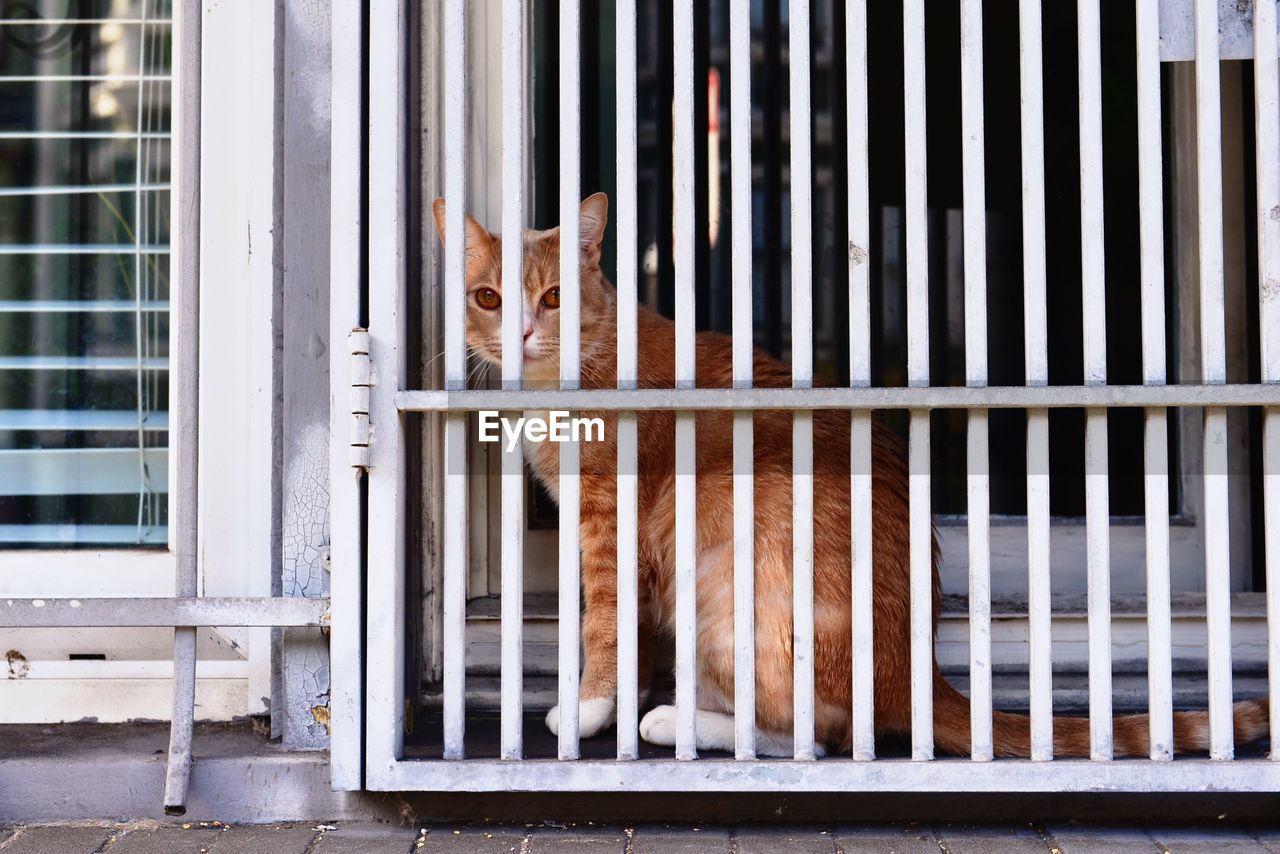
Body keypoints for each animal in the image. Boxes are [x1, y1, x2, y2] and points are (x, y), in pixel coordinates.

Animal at [437, 195, 1269, 763]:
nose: (522, 332)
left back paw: (675, 721)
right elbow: (633, 636)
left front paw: (588, 709)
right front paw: (617, 702)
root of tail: (914, 668)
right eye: (489, 297)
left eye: (554, 298)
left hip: (728, 587)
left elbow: (605, 627)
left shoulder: (610, 526)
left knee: (815, 733)